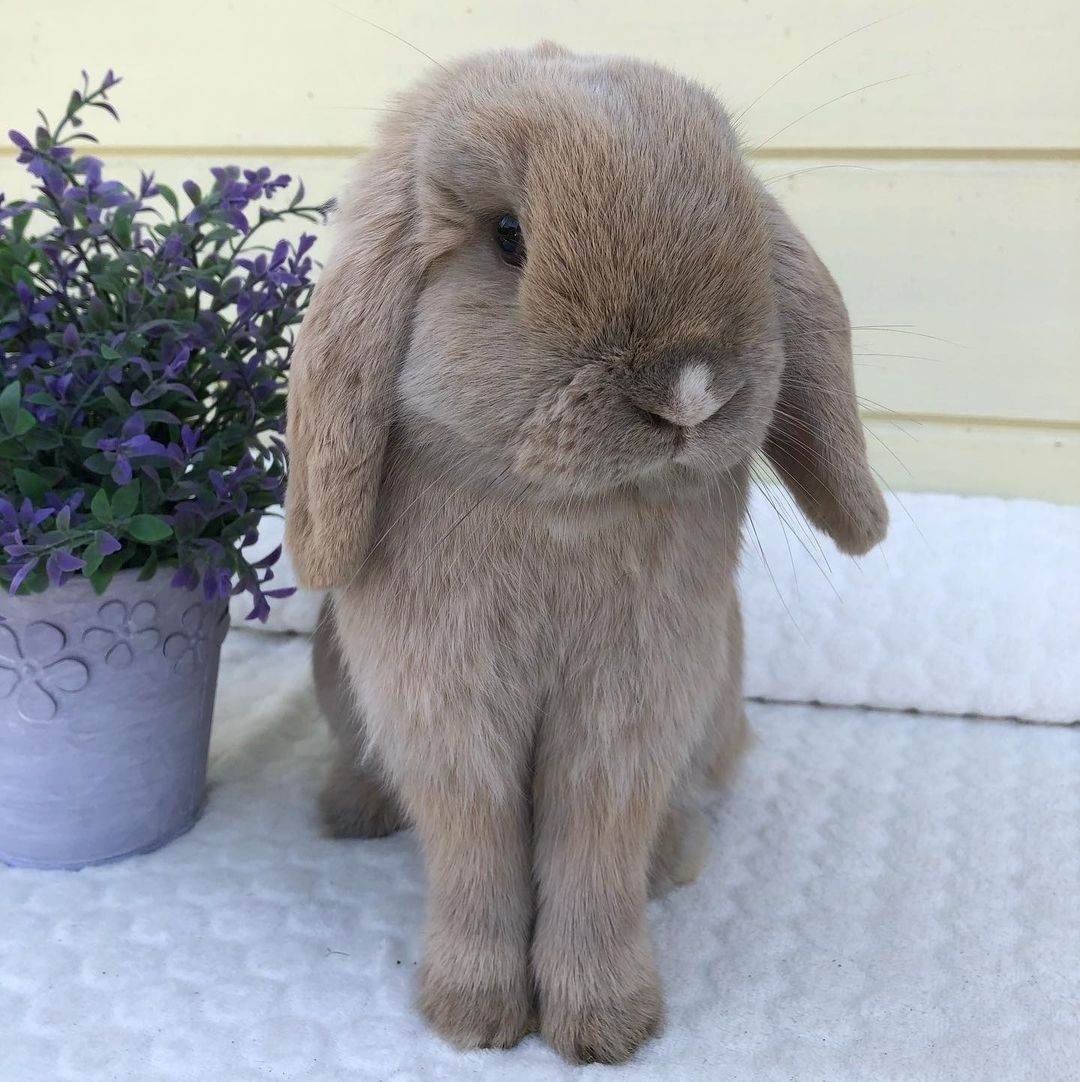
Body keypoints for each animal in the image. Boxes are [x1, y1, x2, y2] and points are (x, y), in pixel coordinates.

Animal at [285, 44, 887, 1064]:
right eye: (508, 236)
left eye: (743, 212)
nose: (690, 391)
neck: (562, 513)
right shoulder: (442, 707)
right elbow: (477, 847)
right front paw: (473, 1015)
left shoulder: (629, 713)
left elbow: (594, 846)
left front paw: (606, 1025)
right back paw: (351, 815)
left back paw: (672, 860)